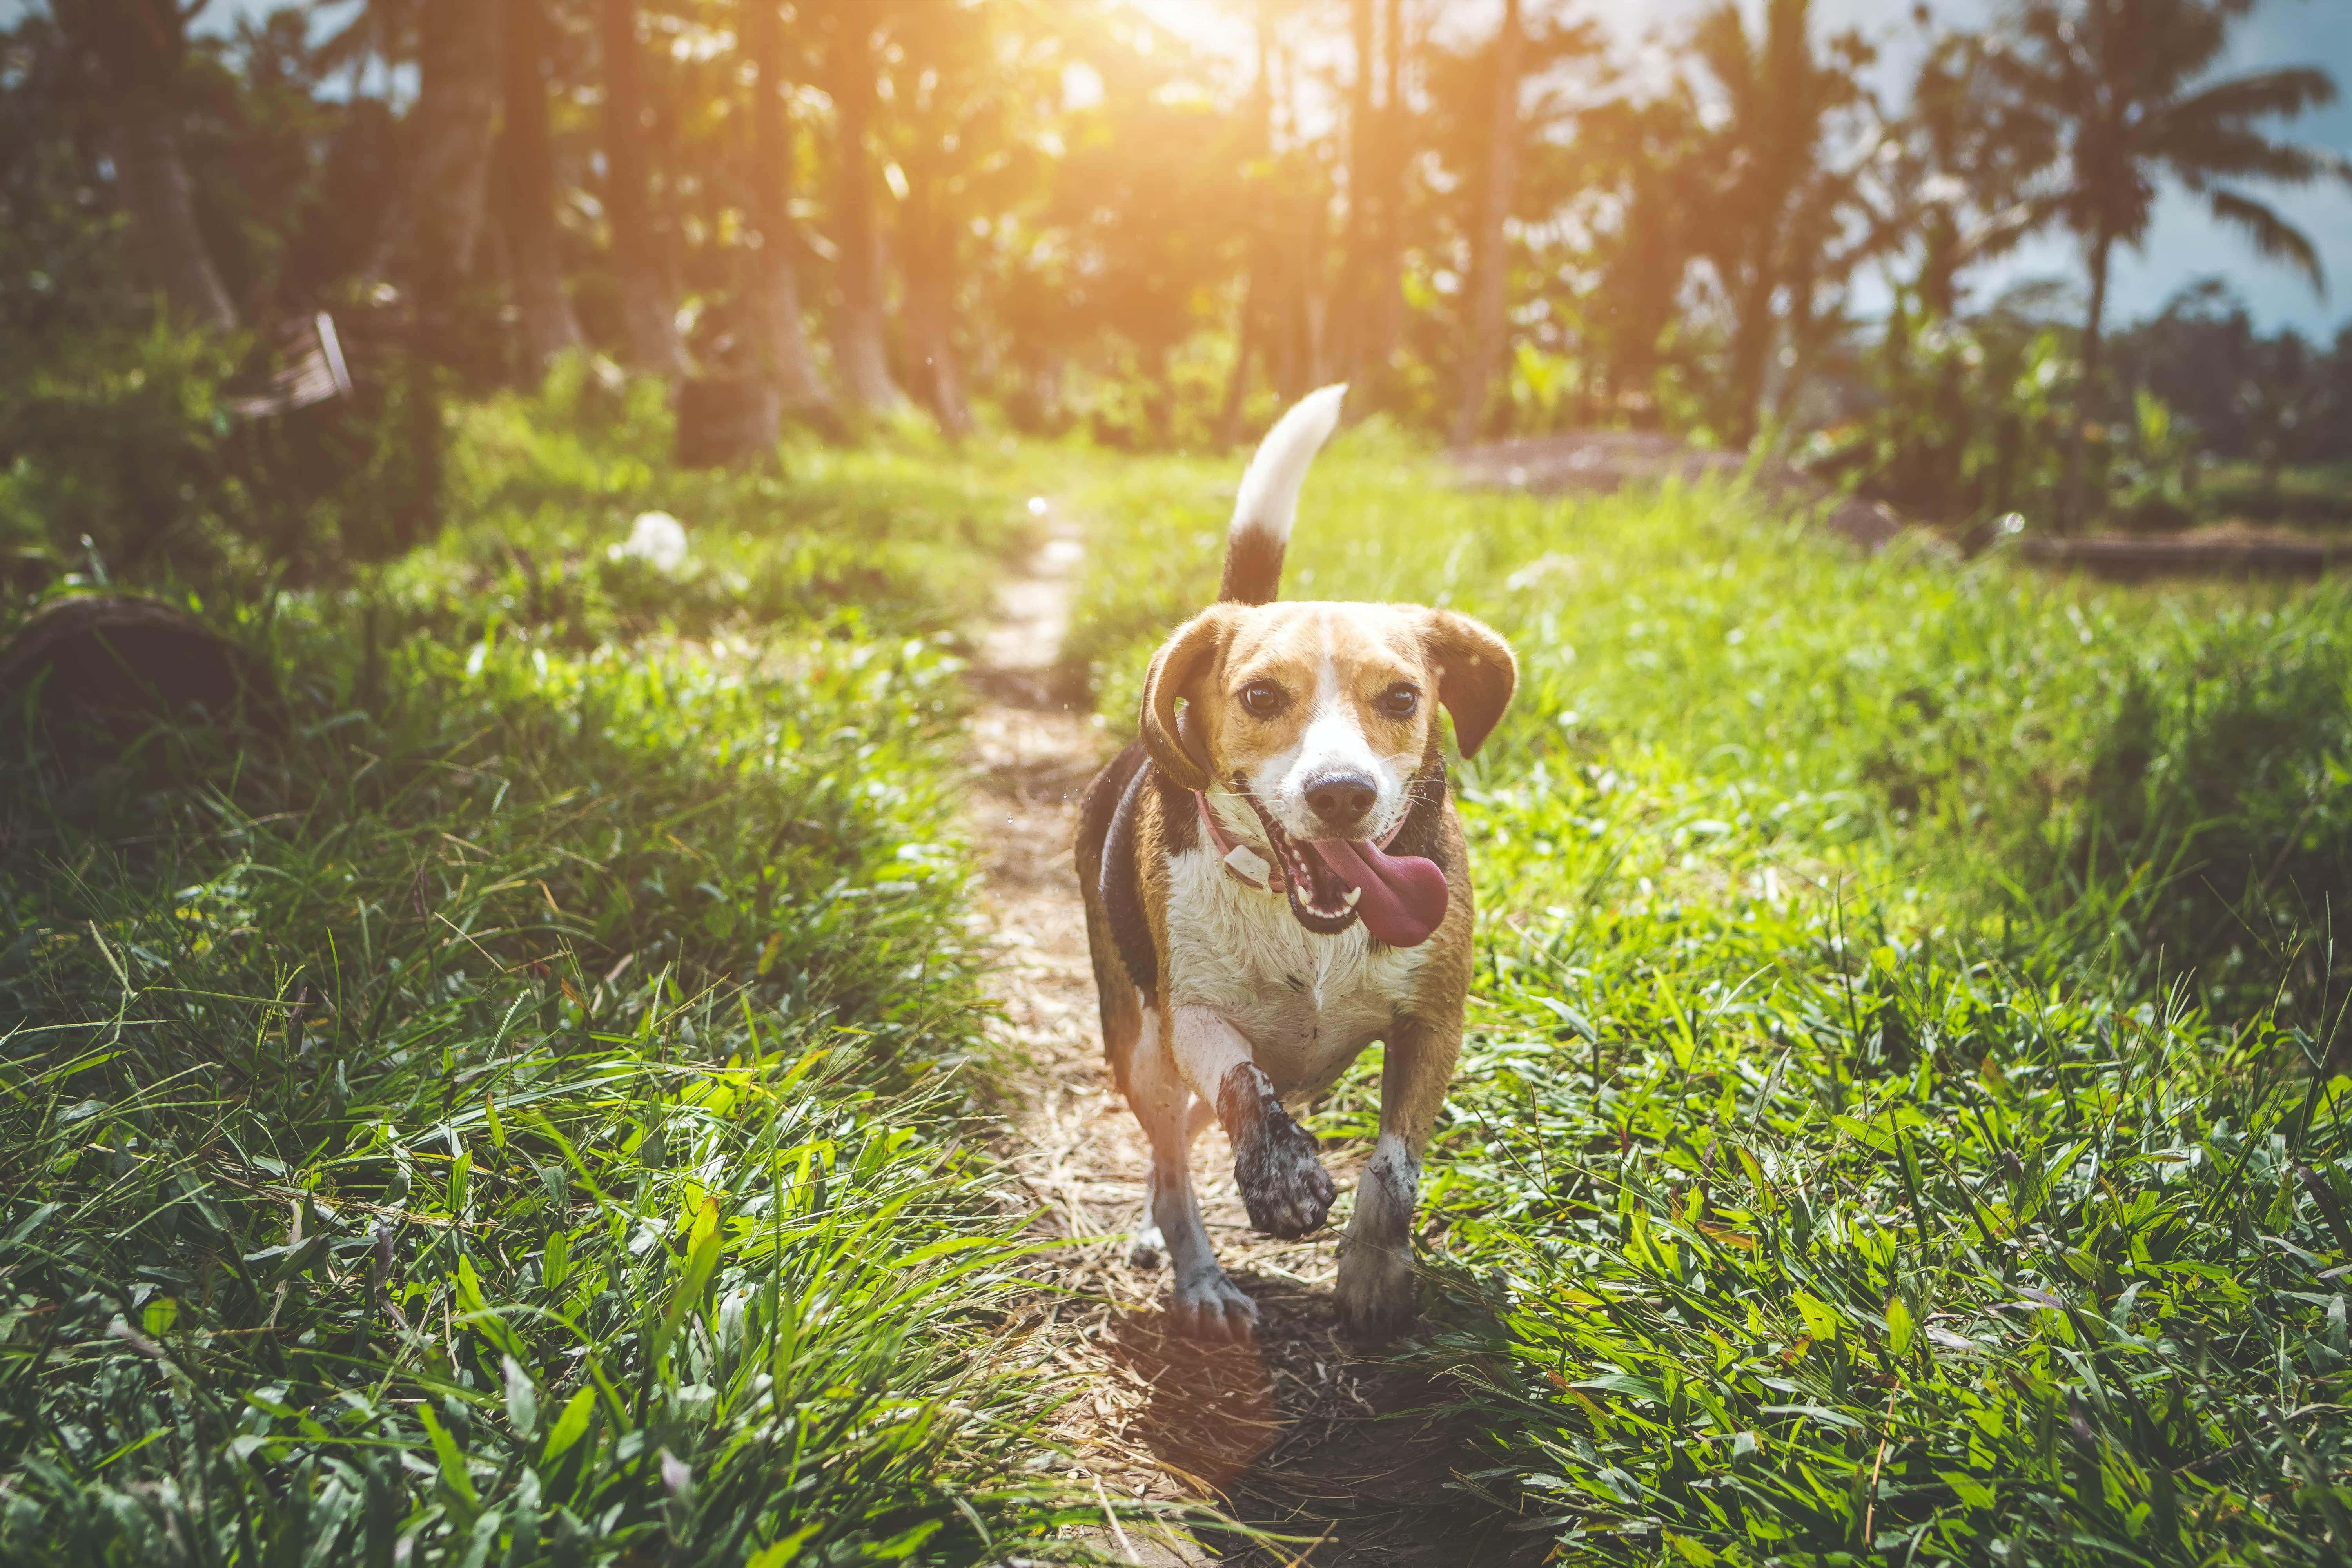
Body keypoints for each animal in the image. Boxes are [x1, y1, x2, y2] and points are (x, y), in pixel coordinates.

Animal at [1077, 385, 1515, 1345]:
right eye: (1260, 695)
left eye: (1403, 697)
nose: (1342, 793)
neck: (1302, 918)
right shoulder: (1192, 1016)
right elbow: (1243, 1081)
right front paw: (1281, 1175)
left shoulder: (1435, 1022)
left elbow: (1393, 1167)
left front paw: (1375, 1272)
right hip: (1141, 1047)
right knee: (1174, 1160)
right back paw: (1199, 1275)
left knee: (1177, 1150)